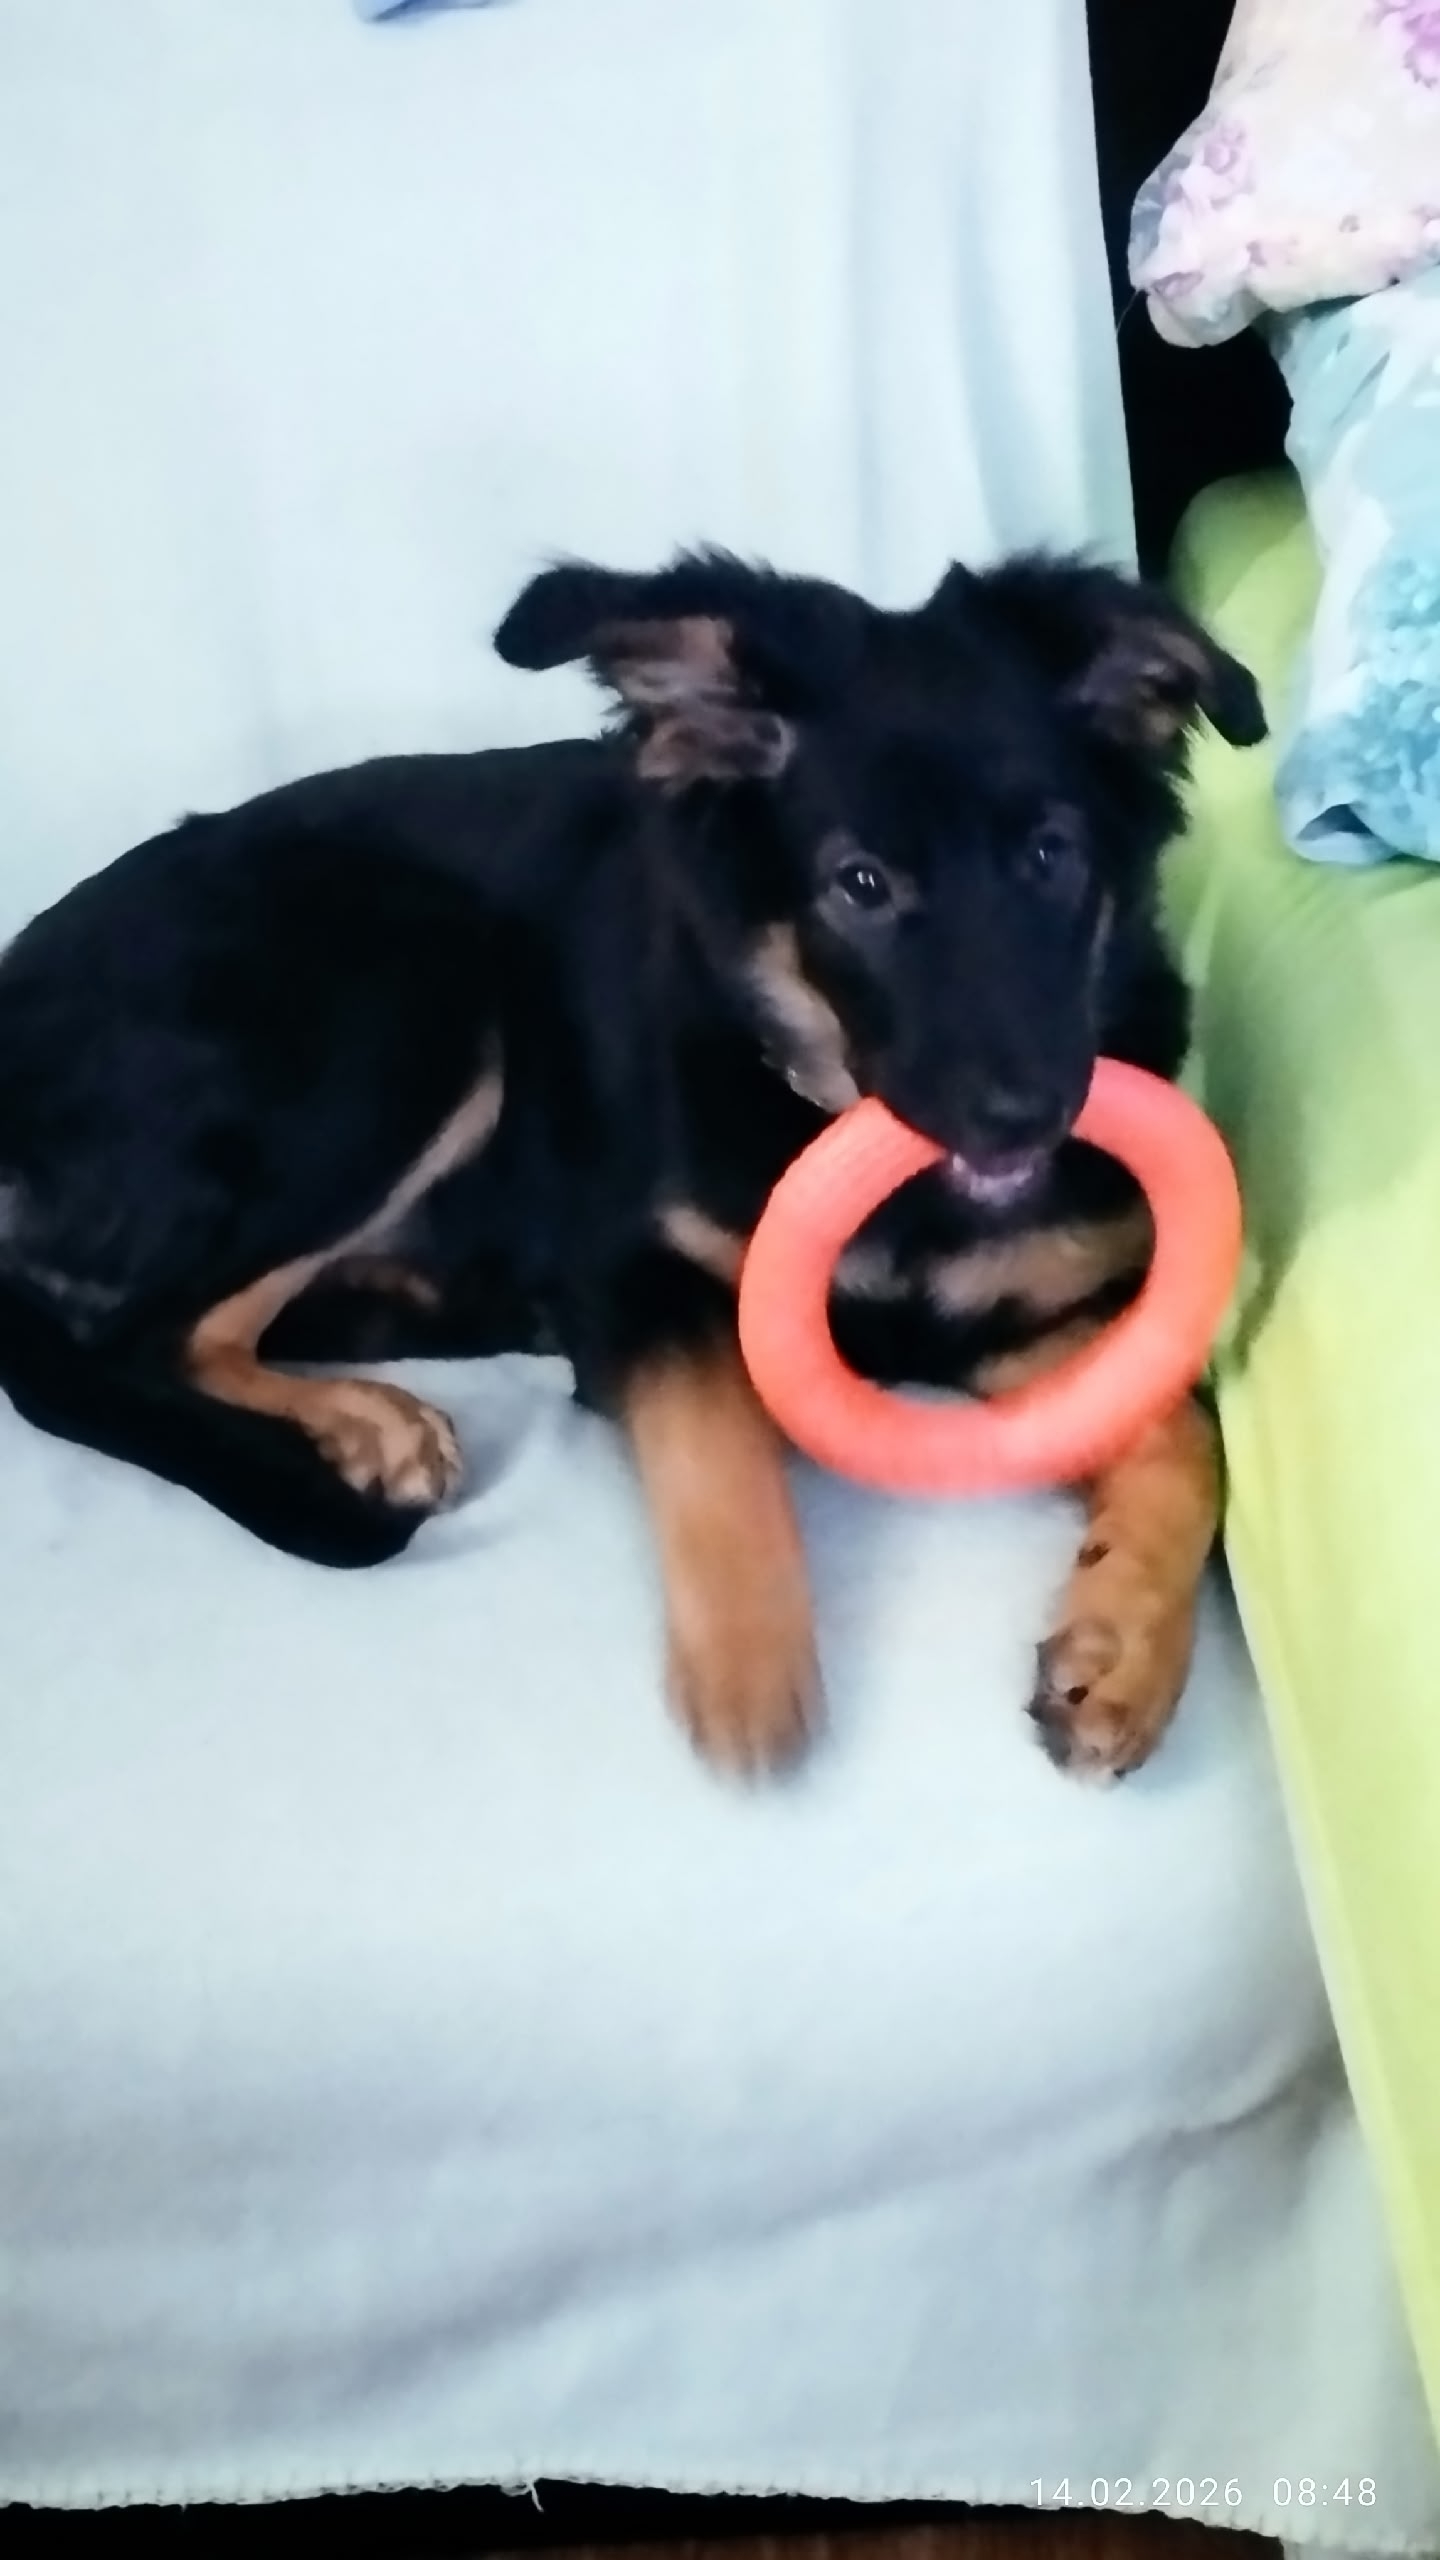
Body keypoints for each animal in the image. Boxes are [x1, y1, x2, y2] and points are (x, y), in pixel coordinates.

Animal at [0, 547, 1264, 1777]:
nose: (1023, 1120)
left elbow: (1188, 1439)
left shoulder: (1029, 1324)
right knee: (147, 1334)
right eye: (859, 883)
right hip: (413, 988)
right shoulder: (639, 1270)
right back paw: (366, 1417)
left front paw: (1121, 1648)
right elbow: (715, 1434)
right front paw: (751, 1669)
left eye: (1052, 856)